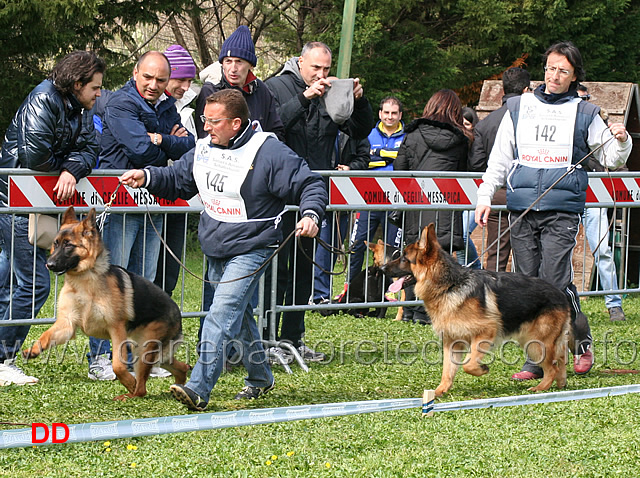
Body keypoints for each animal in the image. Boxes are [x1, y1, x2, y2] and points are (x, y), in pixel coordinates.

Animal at [23, 207, 189, 402]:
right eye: (55, 244)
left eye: (69, 245)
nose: (49, 264)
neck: (84, 279)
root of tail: (178, 313)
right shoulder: (67, 324)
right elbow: (45, 336)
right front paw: (33, 350)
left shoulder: (116, 330)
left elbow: (117, 365)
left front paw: (128, 381)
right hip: (149, 352)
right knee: (180, 366)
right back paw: (180, 386)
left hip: (144, 351)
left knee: (142, 389)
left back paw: (132, 392)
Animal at [382, 224, 568, 396]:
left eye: (404, 259)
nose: (381, 269)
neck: (450, 286)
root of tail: (560, 293)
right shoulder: (452, 342)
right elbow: (447, 370)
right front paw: (439, 391)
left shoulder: (485, 333)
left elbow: (468, 364)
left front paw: (482, 369)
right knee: (560, 361)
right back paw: (561, 385)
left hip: (536, 343)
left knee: (552, 367)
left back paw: (540, 388)